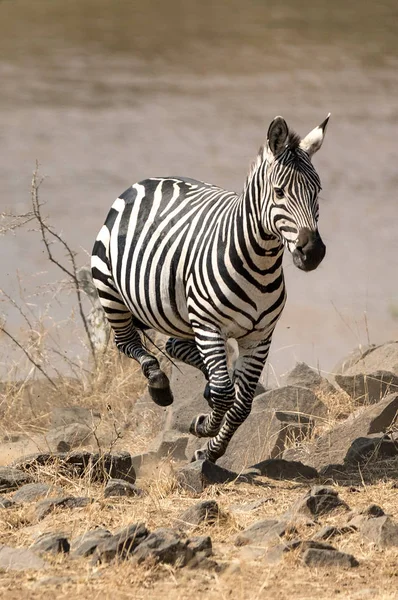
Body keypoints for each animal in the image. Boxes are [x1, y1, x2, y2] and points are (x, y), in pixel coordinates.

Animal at [91, 113, 330, 464]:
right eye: (279, 192)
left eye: (318, 190)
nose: (312, 252)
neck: (260, 262)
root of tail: (149, 180)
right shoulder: (209, 325)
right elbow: (225, 394)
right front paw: (203, 426)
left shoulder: (259, 337)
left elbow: (241, 404)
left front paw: (212, 450)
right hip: (111, 290)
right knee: (127, 342)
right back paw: (159, 384)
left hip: (179, 313)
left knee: (176, 346)